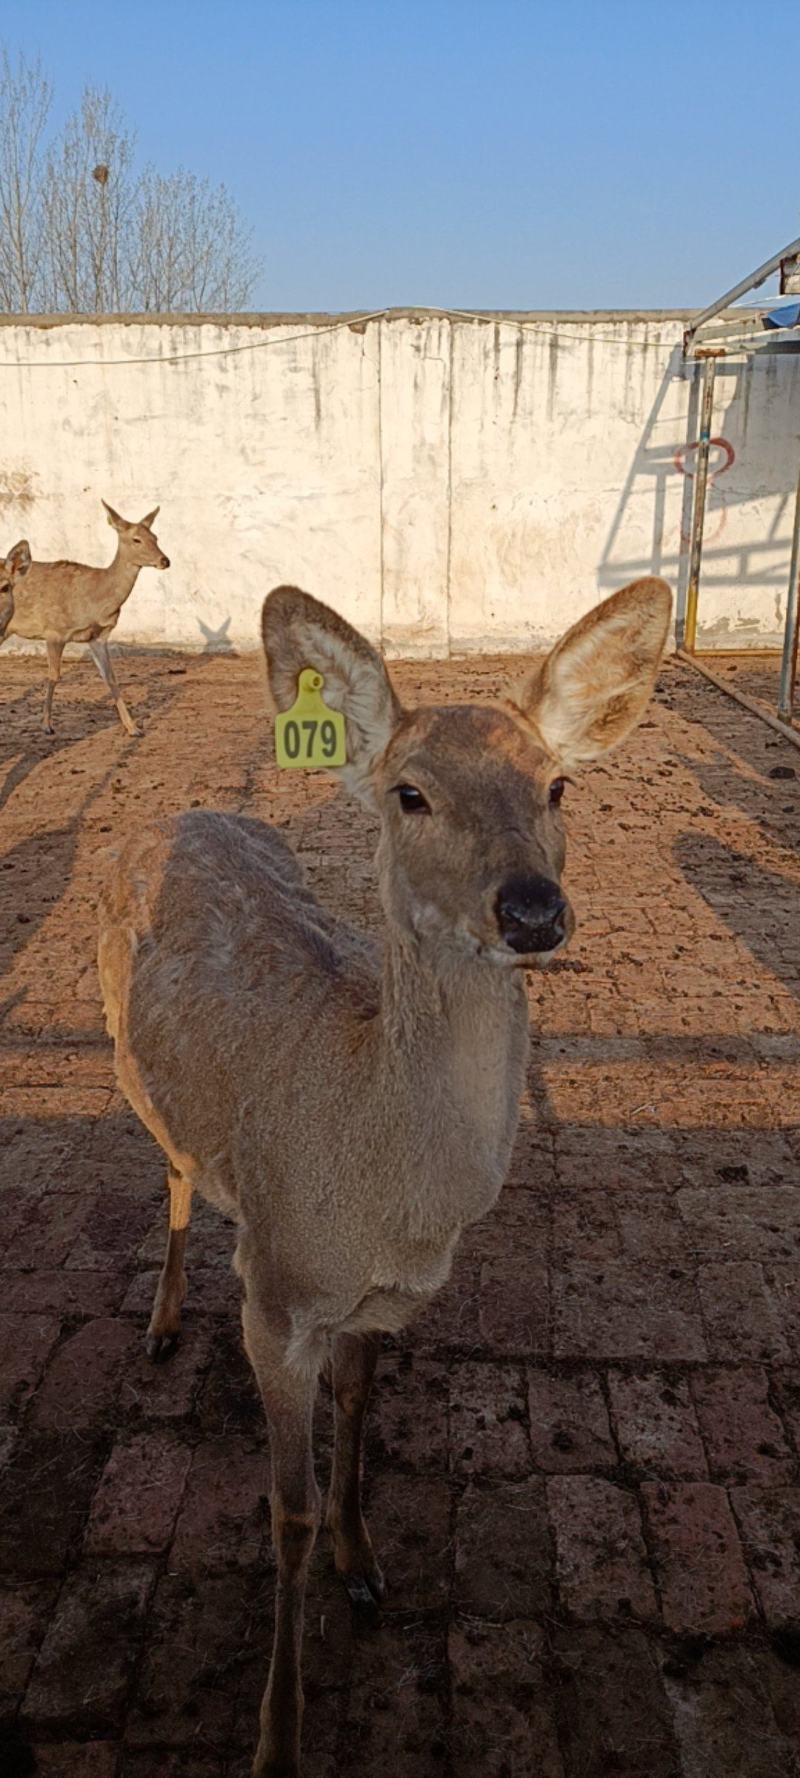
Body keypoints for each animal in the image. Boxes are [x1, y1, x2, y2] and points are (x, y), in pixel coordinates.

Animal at [0, 500, 170, 736]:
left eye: (155, 537)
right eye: (136, 539)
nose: (165, 560)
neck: (94, 600)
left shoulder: (98, 637)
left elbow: (111, 678)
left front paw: (133, 727)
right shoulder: (54, 630)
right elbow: (54, 675)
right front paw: (46, 724)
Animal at [97, 573, 671, 1777]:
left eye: (557, 784)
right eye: (410, 793)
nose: (532, 908)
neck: (381, 1201)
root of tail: (172, 815)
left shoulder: (379, 1305)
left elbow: (360, 1407)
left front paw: (366, 1567)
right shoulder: (274, 1297)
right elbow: (286, 1511)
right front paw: (277, 1735)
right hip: (118, 1050)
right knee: (172, 1163)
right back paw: (162, 1322)